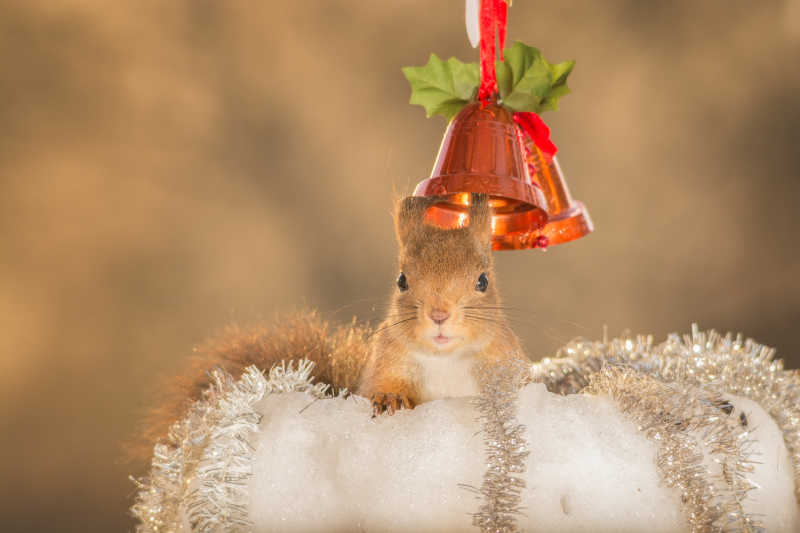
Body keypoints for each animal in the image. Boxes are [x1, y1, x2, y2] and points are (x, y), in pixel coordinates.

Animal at [134, 193, 528, 456]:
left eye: (483, 281)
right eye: (401, 280)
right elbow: (381, 387)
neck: (444, 359)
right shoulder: (386, 363)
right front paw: (391, 399)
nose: (439, 314)